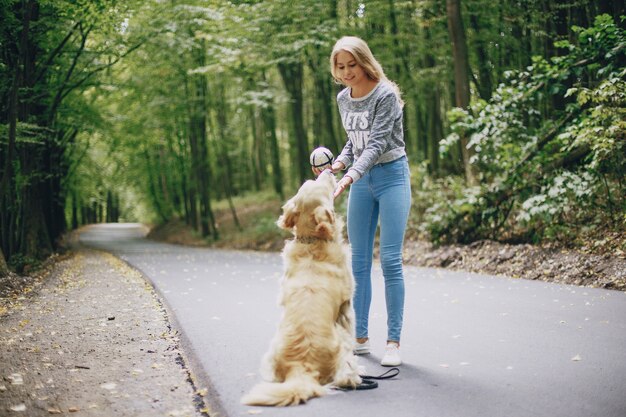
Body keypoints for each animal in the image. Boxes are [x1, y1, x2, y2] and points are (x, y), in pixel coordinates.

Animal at [240, 170, 360, 406]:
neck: (312, 242)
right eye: (317, 183)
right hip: (341, 345)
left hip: (272, 351)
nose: (328, 171)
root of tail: (301, 366)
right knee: (345, 374)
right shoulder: (346, 306)